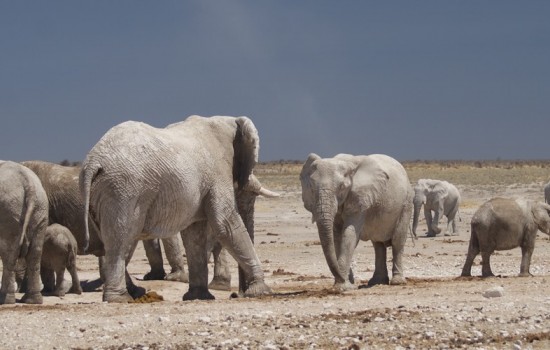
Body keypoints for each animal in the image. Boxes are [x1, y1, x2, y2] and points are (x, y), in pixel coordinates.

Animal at [0, 161, 47, 304]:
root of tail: (29, 183)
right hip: (40, 209)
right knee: (35, 254)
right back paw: (33, 300)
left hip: (9, 211)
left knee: (9, 254)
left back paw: (5, 299)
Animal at [80, 116, 274, 302]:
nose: (237, 294)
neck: (228, 120)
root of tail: (93, 161)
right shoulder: (217, 171)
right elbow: (225, 224)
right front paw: (261, 291)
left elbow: (194, 234)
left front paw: (198, 297)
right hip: (124, 189)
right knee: (121, 240)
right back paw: (120, 298)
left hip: (105, 193)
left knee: (117, 241)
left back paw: (135, 293)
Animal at [302, 153, 414, 290]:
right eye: (312, 188)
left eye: (342, 187)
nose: (343, 279)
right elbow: (337, 237)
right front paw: (346, 284)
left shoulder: (360, 198)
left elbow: (349, 234)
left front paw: (342, 288)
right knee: (378, 245)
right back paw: (377, 282)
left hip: (406, 203)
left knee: (398, 241)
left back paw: (397, 282)